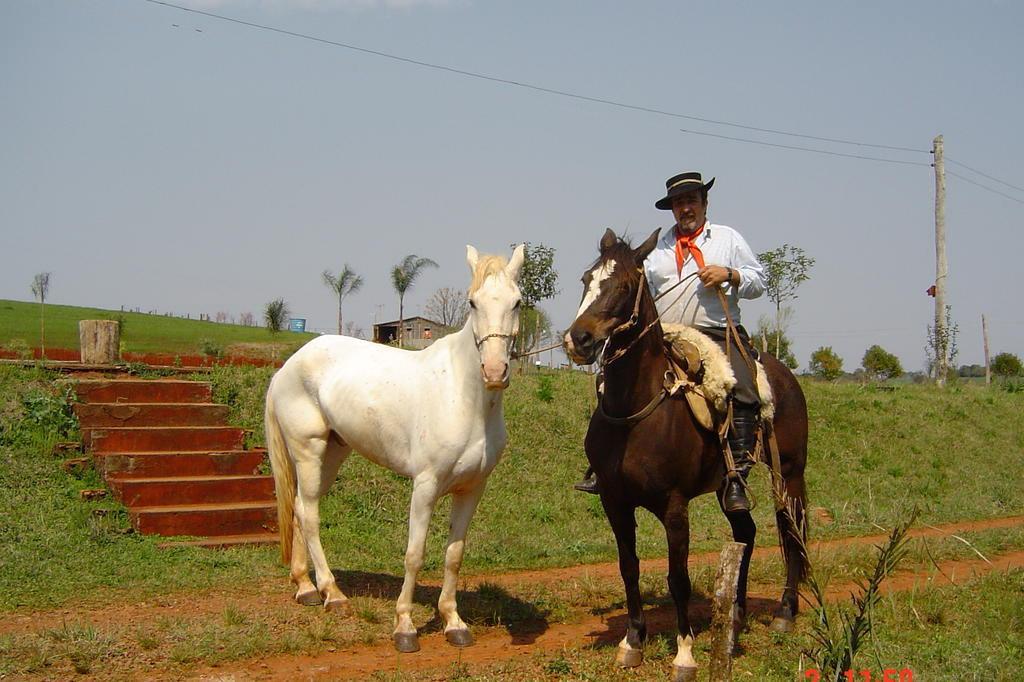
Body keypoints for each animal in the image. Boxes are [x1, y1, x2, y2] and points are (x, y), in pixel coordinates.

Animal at [264, 241, 524, 651]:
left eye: (517, 302)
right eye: (472, 302)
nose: (495, 372)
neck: (464, 399)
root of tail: (288, 367)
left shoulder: (472, 488)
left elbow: (454, 555)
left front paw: (454, 623)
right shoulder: (426, 485)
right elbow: (414, 554)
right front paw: (405, 626)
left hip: (332, 454)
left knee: (299, 509)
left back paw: (305, 588)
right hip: (308, 450)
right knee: (309, 514)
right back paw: (332, 594)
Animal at [561, 229, 806, 679]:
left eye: (625, 285)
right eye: (587, 279)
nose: (578, 340)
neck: (636, 408)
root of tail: (784, 375)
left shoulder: (675, 508)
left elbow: (679, 579)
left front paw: (685, 652)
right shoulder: (614, 503)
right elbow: (629, 568)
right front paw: (632, 641)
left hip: (790, 475)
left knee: (790, 530)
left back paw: (785, 611)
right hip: (731, 487)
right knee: (746, 533)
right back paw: (736, 615)